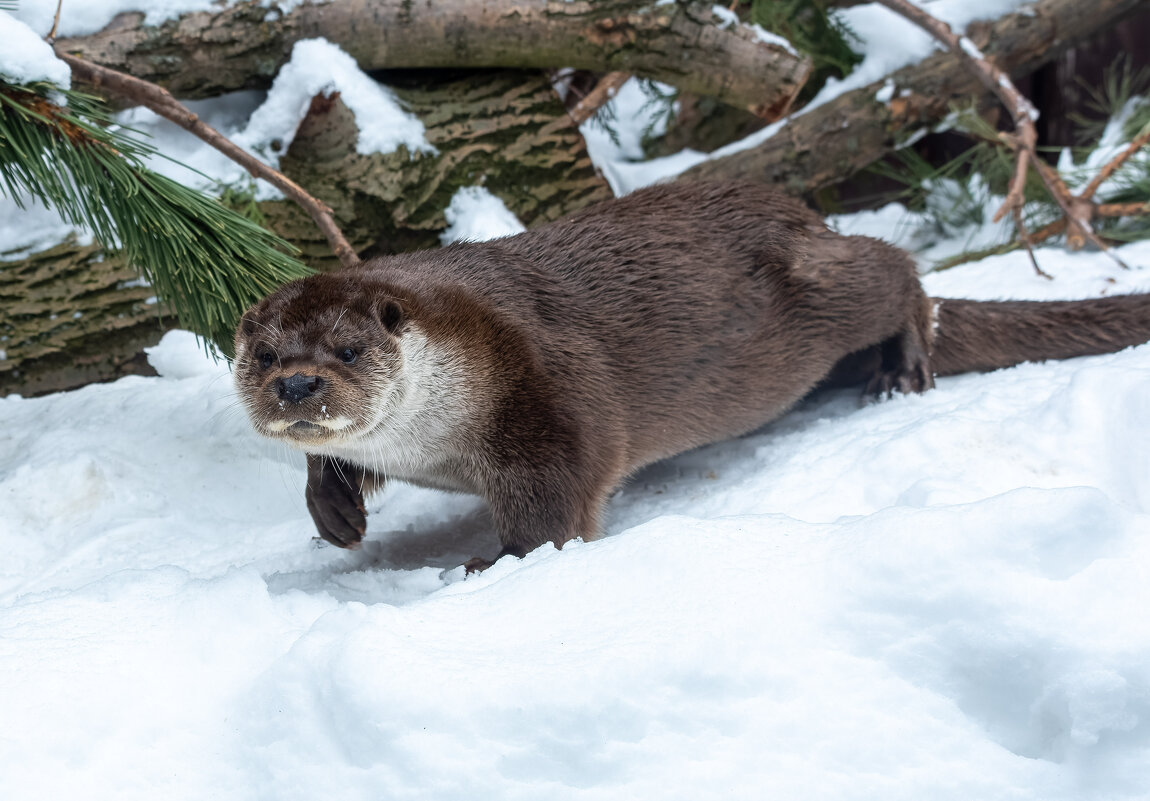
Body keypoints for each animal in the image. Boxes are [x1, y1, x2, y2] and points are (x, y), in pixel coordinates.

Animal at [233, 181, 1150, 567]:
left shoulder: (547, 391)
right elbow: (335, 466)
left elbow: (557, 499)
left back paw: (903, 362)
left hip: (822, 288)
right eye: (265, 355)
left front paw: (500, 562)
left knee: (894, 269)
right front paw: (335, 513)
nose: (299, 386)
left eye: (349, 351)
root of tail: (804, 216)